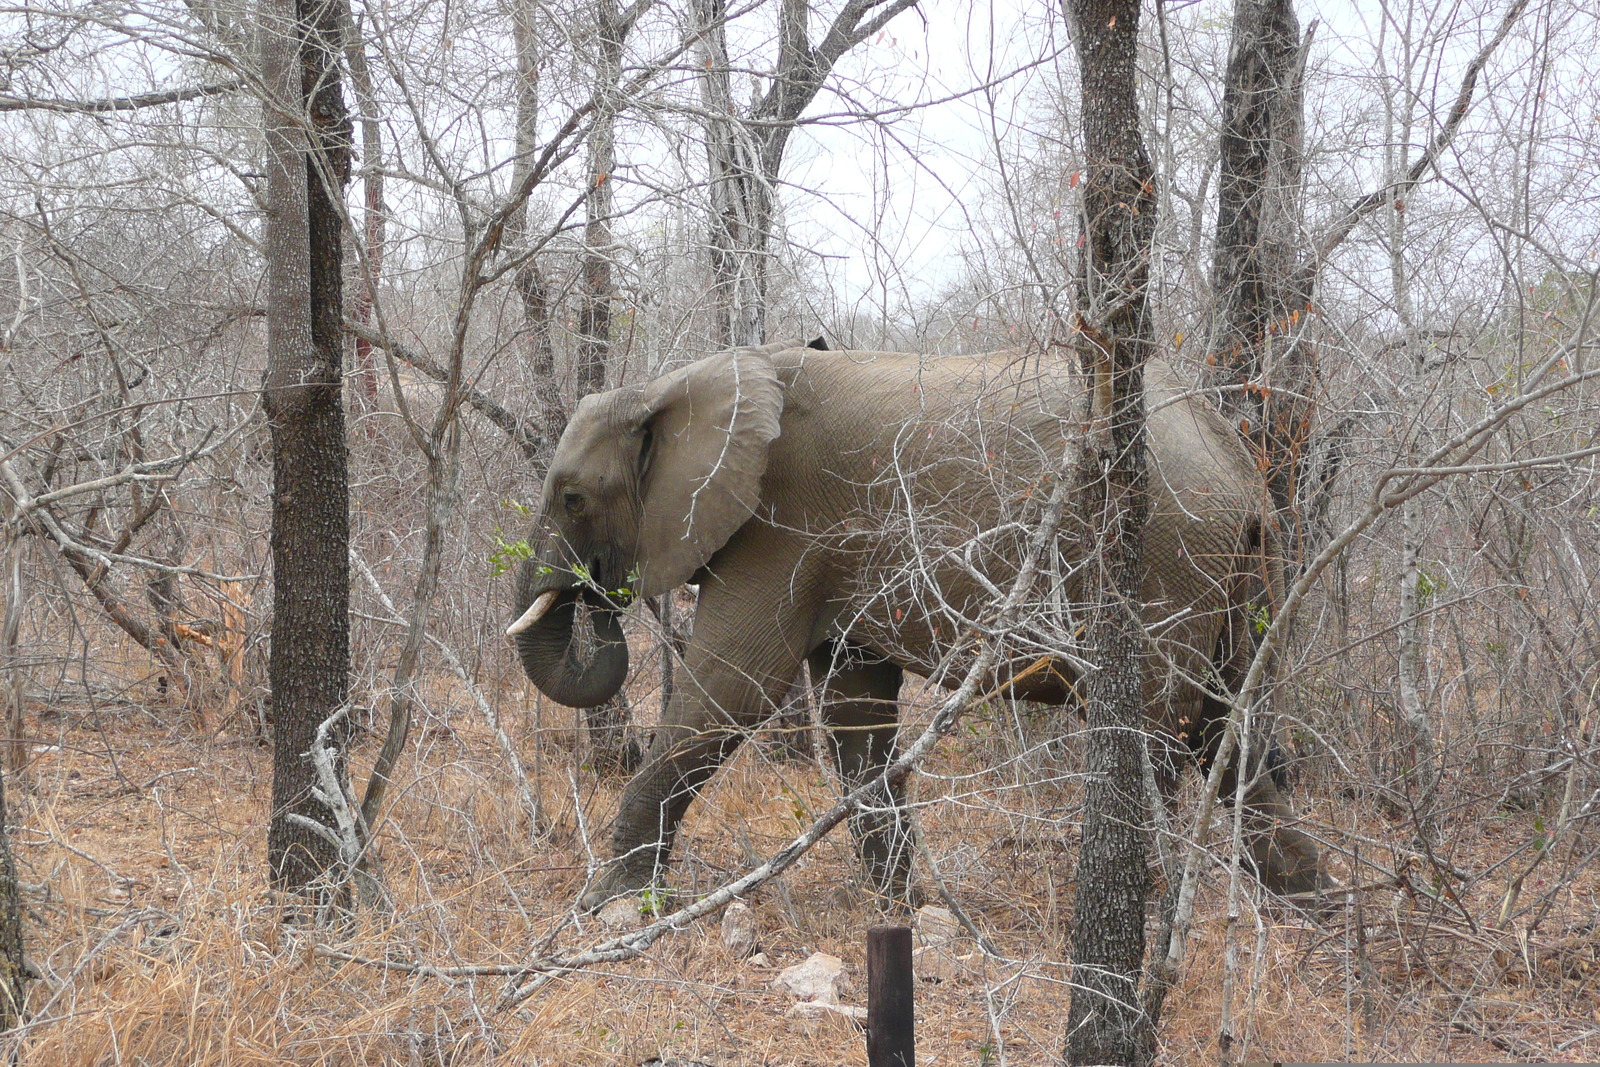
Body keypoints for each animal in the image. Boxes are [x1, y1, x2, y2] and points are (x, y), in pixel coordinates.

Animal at [508, 337, 1324, 915]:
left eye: (573, 497)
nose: (593, 594)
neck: (671, 385)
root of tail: (1241, 465)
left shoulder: (779, 533)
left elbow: (730, 691)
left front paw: (605, 907)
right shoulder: (831, 551)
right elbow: (854, 713)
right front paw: (900, 909)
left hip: (1165, 556)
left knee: (1162, 732)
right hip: (1237, 575)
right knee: (1233, 731)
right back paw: (1312, 915)